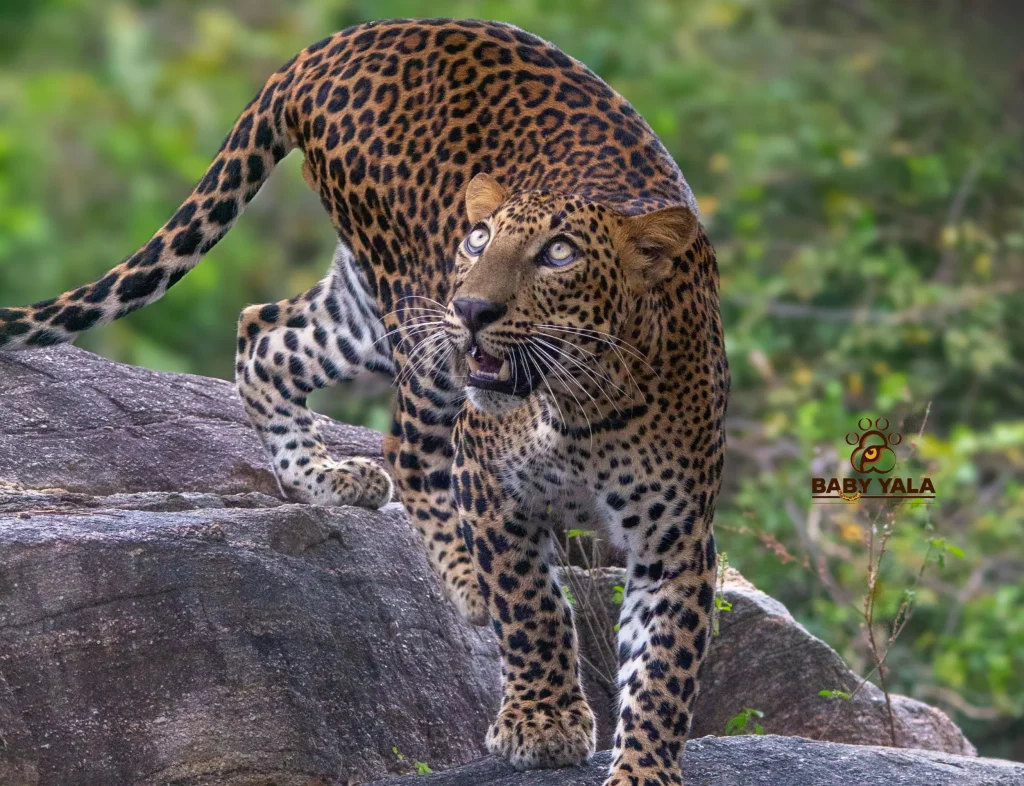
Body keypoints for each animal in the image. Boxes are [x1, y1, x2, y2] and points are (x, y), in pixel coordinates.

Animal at [0, 18, 729, 786]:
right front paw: (543, 721)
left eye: (559, 254)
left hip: (367, 310)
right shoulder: (492, 484)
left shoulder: (677, 538)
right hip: (412, 308)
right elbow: (530, 605)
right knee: (403, 445)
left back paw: (323, 477)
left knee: (263, 333)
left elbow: (663, 671)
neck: (578, 404)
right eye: (480, 240)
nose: (474, 307)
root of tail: (343, 39)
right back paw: (460, 578)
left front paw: (643, 767)